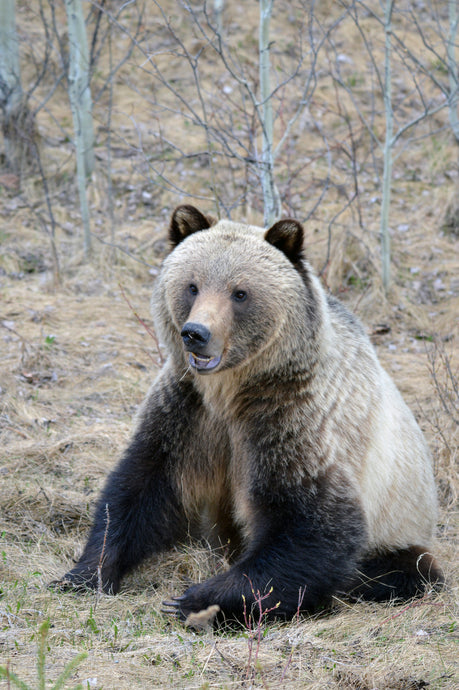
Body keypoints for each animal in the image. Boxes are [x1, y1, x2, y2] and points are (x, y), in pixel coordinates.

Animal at [55, 204, 444, 624]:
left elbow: (311, 526)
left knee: (406, 570)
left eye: (239, 292)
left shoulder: (293, 420)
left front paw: (194, 599)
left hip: (401, 523)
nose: (196, 333)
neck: (232, 389)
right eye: (192, 286)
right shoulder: (188, 413)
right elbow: (140, 488)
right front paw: (84, 573)